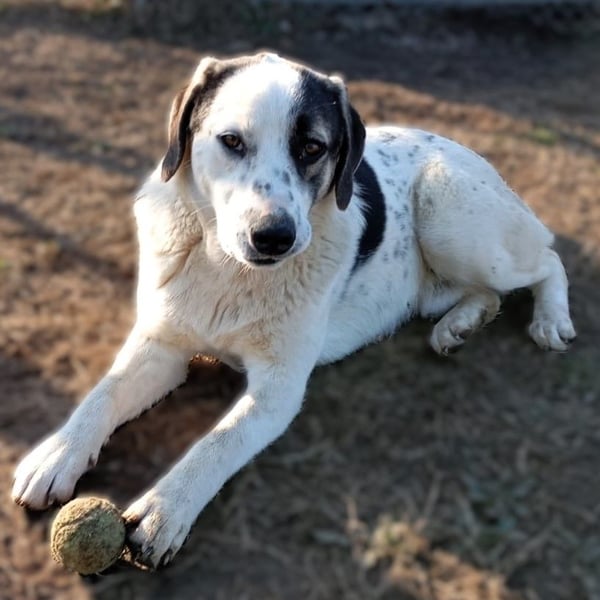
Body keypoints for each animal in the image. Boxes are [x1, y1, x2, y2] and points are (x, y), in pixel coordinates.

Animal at [12, 53, 575, 568]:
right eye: (232, 141)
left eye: (312, 147)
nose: (274, 236)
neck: (230, 270)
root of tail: (473, 155)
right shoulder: (163, 345)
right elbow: (103, 394)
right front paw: (56, 453)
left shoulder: (278, 387)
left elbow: (220, 440)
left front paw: (166, 507)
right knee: (489, 293)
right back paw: (459, 325)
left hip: (450, 215)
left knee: (547, 257)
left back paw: (549, 320)